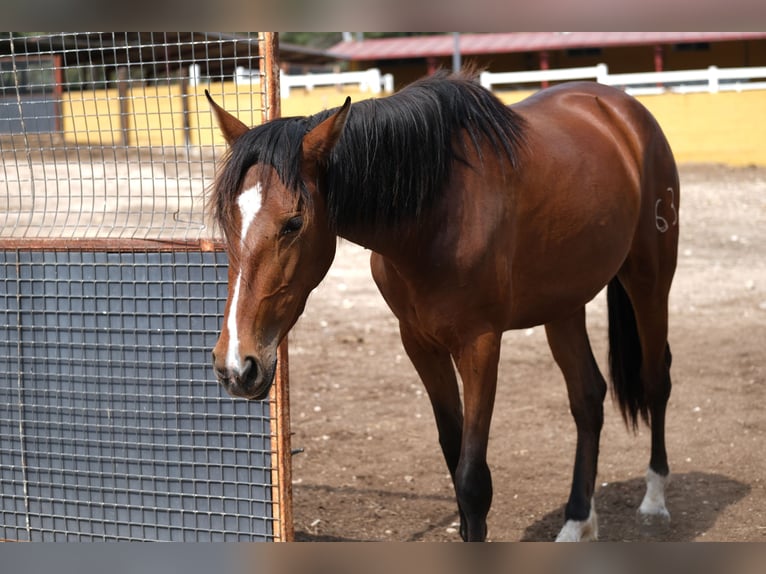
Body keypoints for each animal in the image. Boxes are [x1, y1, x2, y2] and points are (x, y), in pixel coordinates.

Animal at [207, 70, 680, 544]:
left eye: (293, 223)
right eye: (227, 220)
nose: (236, 367)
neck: (436, 213)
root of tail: (619, 108)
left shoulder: (480, 345)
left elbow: (472, 481)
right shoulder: (420, 343)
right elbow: (454, 461)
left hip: (650, 281)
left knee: (655, 380)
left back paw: (655, 498)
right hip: (563, 305)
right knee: (587, 397)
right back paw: (578, 520)